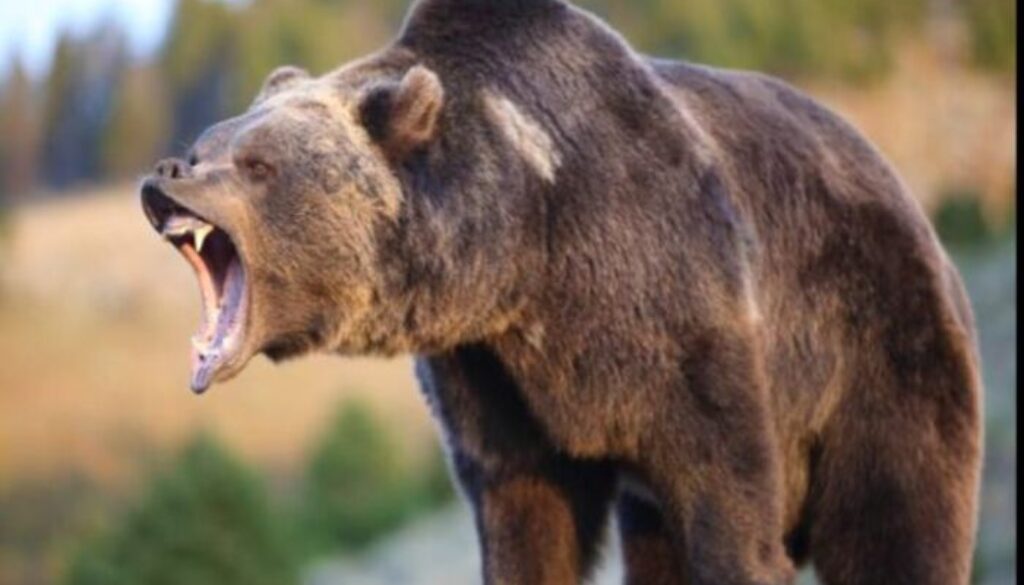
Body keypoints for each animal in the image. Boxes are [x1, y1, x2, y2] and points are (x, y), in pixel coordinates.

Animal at [140, 0, 983, 583]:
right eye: (205, 146)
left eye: (257, 164)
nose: (165, 173)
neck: (526, 254)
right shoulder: (493, 380)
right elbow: (527, 518)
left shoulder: (685, 314)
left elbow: (730, 506)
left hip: (881, 349)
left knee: (898, 522)